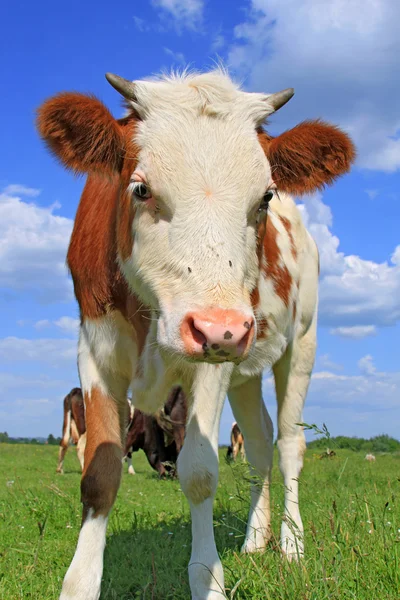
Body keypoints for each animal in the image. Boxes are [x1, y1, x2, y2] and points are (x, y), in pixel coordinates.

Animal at [37, 67, 354, 600]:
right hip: (245, 365)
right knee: (260, 442)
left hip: (299, 344)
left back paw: (291, 545)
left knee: (290, 443)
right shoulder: (95, 350)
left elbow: (201, 472)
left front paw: (208, 578)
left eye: (264, 197)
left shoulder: (212, 365)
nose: (221, 328)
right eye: (141, 189)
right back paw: (255, 540)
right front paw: (78, 585)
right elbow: (99, 471)